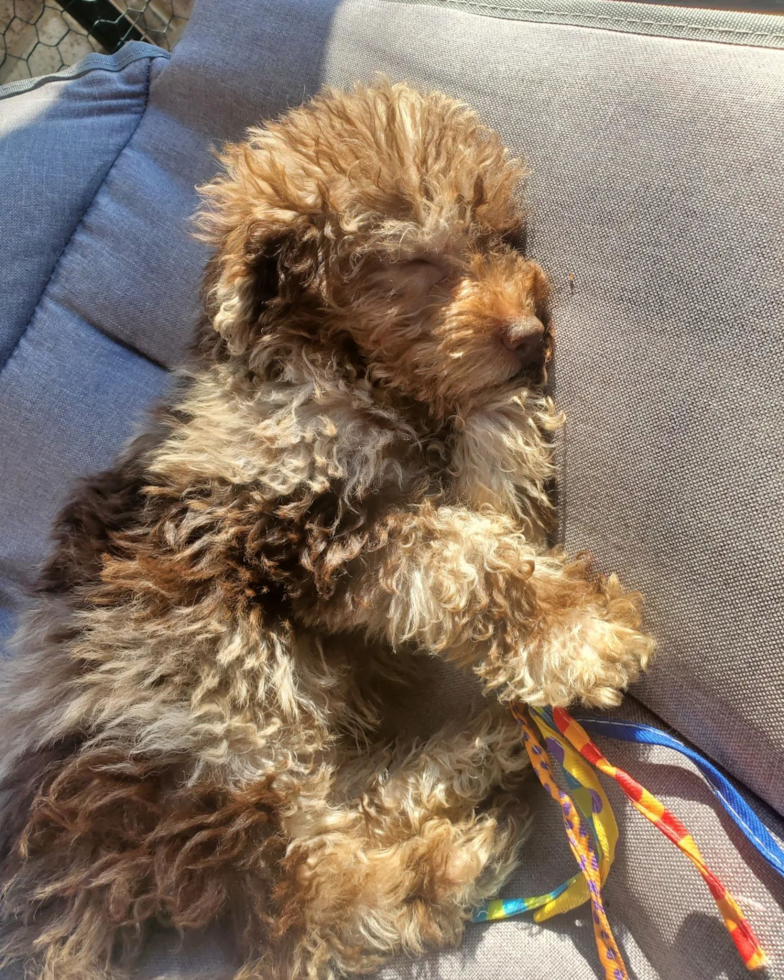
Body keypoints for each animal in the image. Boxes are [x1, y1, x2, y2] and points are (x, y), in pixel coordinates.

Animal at [0, 80, 652, 976]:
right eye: (415, 262)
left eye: (500, 237)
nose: (529, 335)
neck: (336, 362)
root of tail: (65, 873)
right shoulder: (300, 532)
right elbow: (460, 559)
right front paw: (580, 629)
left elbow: (489, 496)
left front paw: (509, 410)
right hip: (213, 731)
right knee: (305, 904)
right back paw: (453, 855)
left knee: (343, 819)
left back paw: (480, 754)